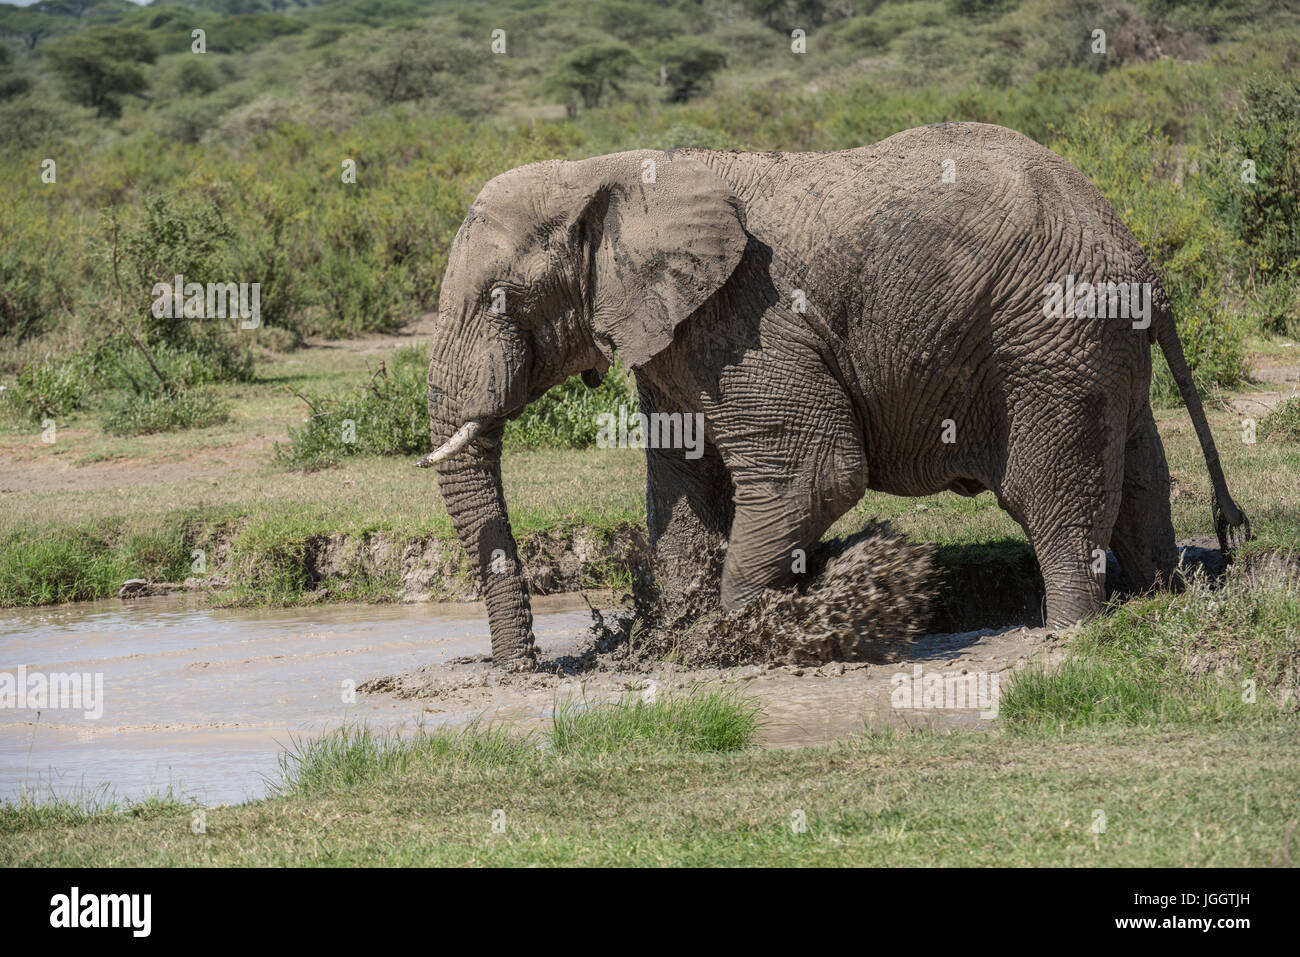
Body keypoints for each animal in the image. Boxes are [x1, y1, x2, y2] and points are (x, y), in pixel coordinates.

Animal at [418, 121, 1248, 670]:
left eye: (499, 299)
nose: (522, 669)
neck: (610, 170)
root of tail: (1144, 262)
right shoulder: (675, 336)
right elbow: (681, 491)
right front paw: (677, 642)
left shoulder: (750, 318)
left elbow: (814, 472)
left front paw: (742, 639)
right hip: (1098, 347)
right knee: (1139, 484)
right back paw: (1161, 602)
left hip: (1052, 337)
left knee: (1054, 497)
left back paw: (1070, 635)